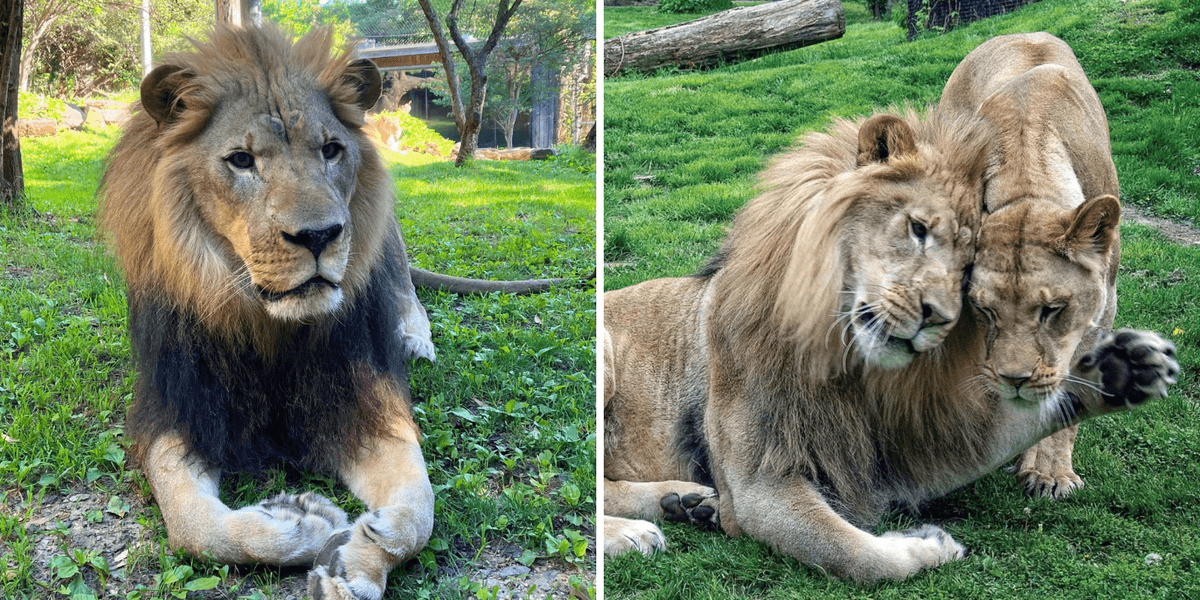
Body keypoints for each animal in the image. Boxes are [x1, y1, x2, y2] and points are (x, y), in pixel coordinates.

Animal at [98, 25, 565, 600]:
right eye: (241, 160)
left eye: (331, 150)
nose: (320, 236)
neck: (270, 327)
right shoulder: (174, 408)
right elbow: (193, 524)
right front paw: (301, 523)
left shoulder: (365, 400)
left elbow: (420, 506)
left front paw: (354, 558)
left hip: (386, 233)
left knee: (406, 293)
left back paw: (414, 340)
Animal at [601, 106, 1179, 582]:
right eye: (919, 229)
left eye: (967, 267)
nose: (938, 317)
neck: (841, 360)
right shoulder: (756, 483)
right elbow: (854, 553)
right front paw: (930, 546)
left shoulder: (900, 444)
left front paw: (1122, 372)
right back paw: (633, 531)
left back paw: (684, 501)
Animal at [938, 32, 1122, 499]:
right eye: (984, 310)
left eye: (1052, 310)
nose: (1016, 379)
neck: (1027, 186)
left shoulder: (1100, 313)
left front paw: (1050, 472)